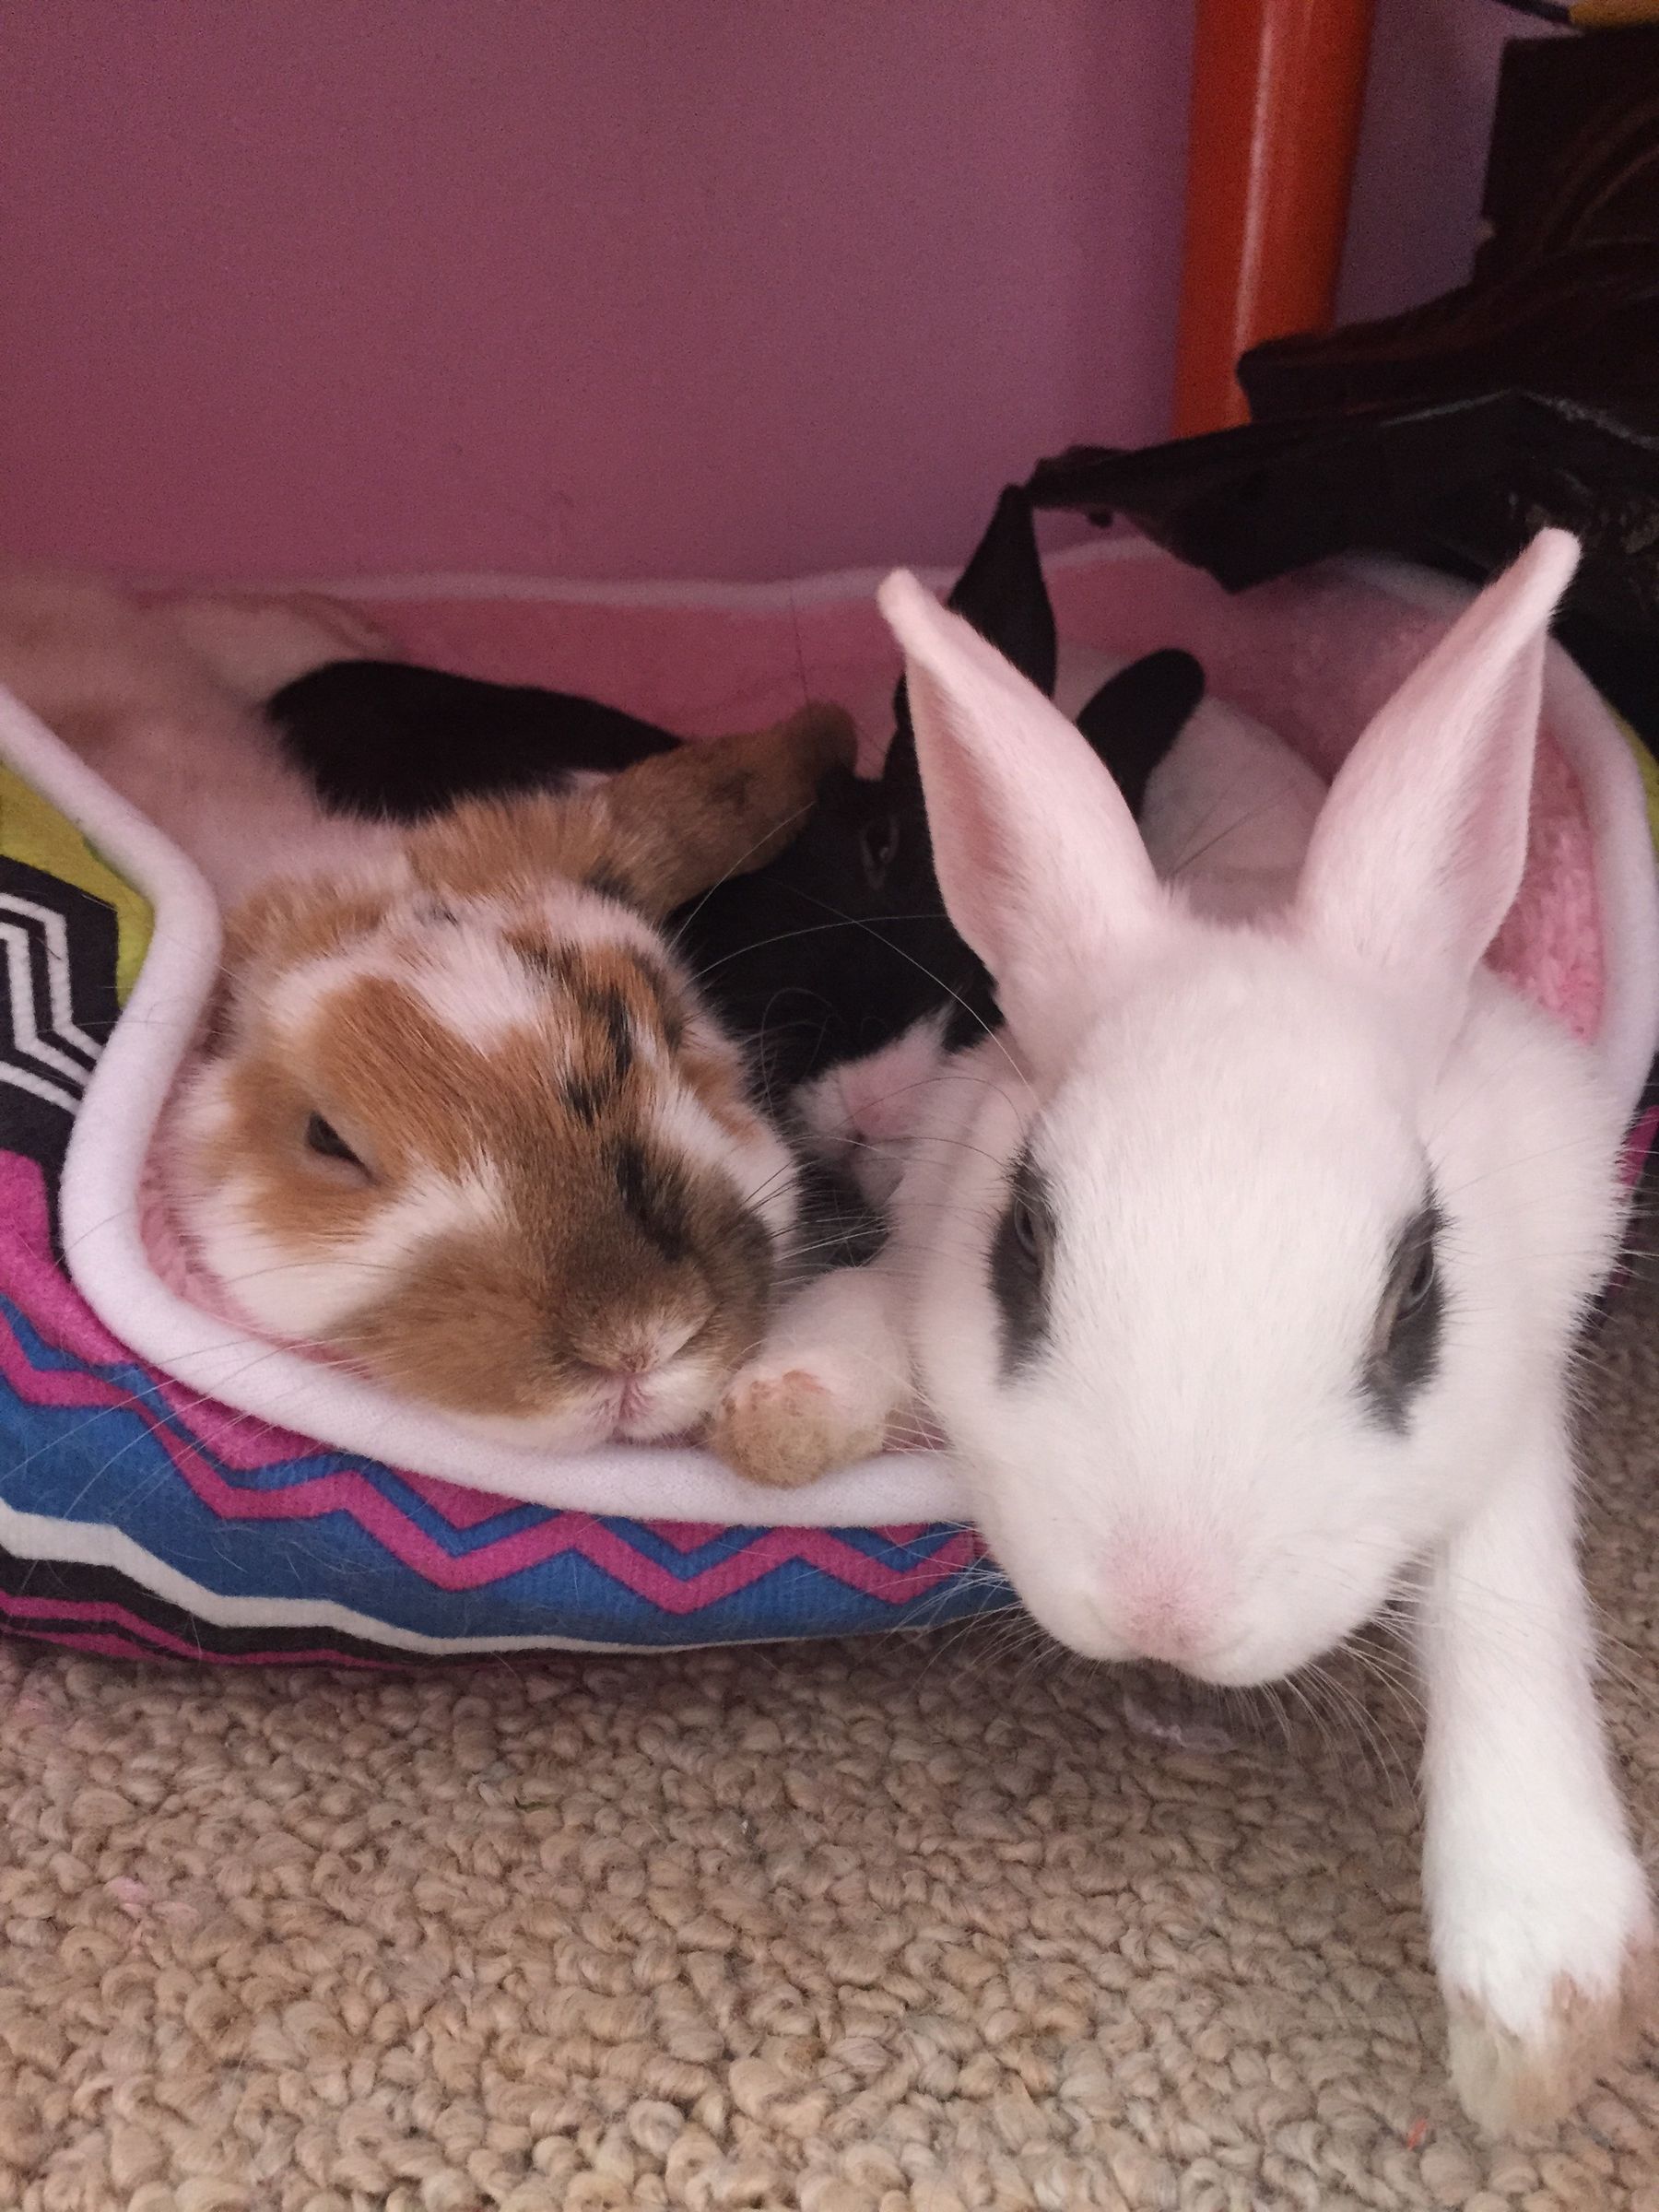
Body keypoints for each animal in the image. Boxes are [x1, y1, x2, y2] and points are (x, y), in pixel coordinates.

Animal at [711, 533, 1657, 2130]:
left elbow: (1506, 1590)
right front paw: (783, 1408)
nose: (1169, 1613)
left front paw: (1545, 2010)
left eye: (1416, 1298)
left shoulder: (1519, 1383)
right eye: (1025, 1248)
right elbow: (871, 1313)